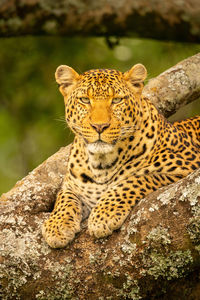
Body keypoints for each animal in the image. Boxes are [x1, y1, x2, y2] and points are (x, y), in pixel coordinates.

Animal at [41, 63, 200, 248]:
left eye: (117, 100)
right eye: (85, 100)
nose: (99, 126)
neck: (100, 163)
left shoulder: (188, 164)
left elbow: (135, 180)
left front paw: (104, 215)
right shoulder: (72, 185)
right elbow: (64, 197)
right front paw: (57, 226)